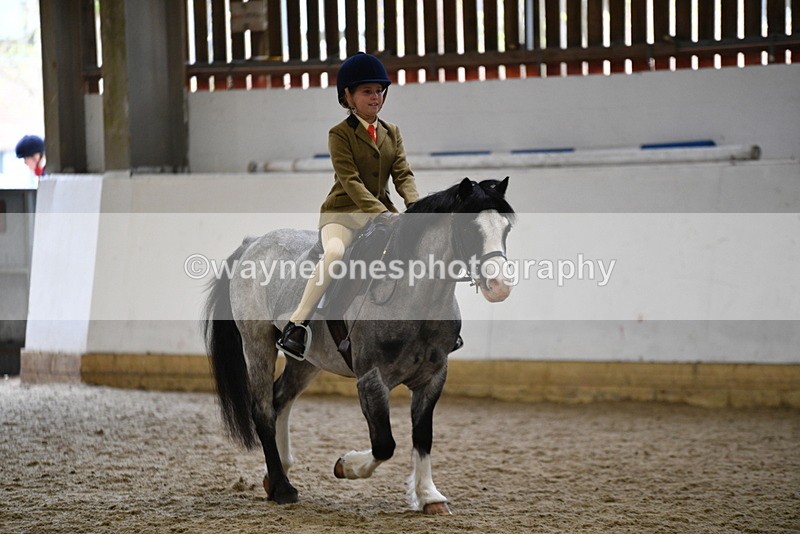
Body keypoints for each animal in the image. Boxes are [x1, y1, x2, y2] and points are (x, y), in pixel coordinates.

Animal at [203, 177, 515, 515]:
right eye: (470, 228)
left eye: (506, 229)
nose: (500, 287)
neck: (415, 296)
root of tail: (254, 243)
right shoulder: (371, 379)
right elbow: (384, 444)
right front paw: (347, 466)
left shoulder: (433, 378)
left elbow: (423, 436)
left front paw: (429, 496)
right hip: (257, 342)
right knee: (262, 410)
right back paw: (283, 488)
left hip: (307, 361)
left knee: (280, 400)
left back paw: (277, 474)